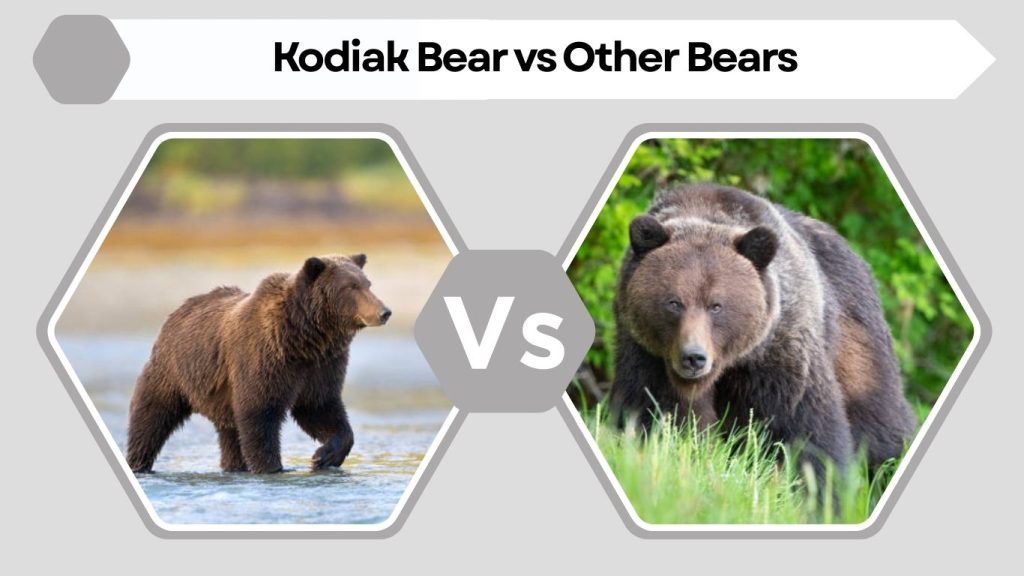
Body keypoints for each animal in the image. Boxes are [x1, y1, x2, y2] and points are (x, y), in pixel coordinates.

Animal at [125, 253, 391, 474]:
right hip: (174, 370)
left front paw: (323, 457)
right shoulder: (263, 357)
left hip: (222, 395)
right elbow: (259, 412)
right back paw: (139, 463)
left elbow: (320, 407)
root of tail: (178, 309)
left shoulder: (322, 365)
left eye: (367, 284)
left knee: (230, 434)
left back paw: (234, 467)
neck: (304, 338)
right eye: (351, 286)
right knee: (152, 416)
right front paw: (272, 467)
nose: (384, 311)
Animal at [609, 183, 916, 475]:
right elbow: (656, 411)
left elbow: (802, 425)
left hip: (854, 335)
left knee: (878, 417)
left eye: (716, 305)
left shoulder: (780, 349)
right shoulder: (648, 352)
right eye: (674, 302)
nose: (693, 357)